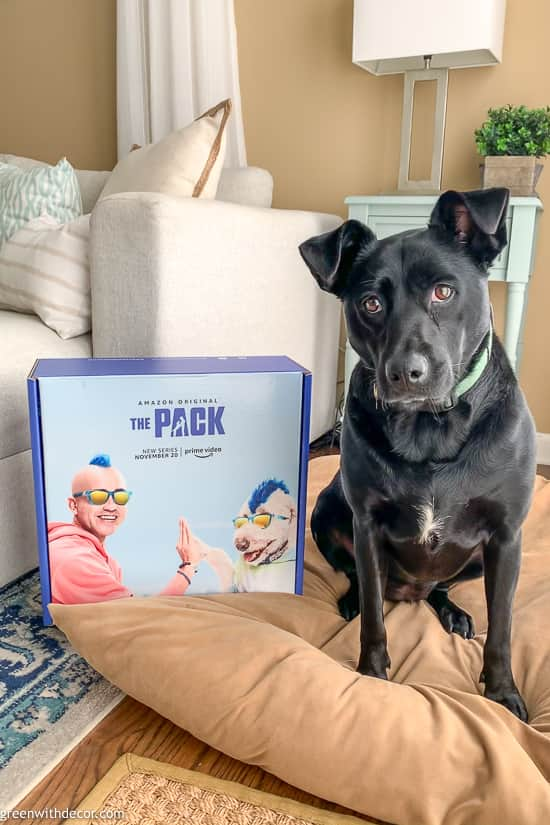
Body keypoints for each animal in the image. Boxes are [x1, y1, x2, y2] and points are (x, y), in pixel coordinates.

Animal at [300, 188, 536, 720]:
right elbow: (374, 618)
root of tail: (410, 592)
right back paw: (353, 601)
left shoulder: (506, 537)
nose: (406, 373)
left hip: (478, 559)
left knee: (443, 588)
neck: (430, 429)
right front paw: (370, 675)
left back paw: (453, 611)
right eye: (370, 303)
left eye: (444, 292)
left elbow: (503, 627)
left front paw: (502, 694)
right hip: (326, 511)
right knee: (362, 583)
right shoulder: (366, 525)